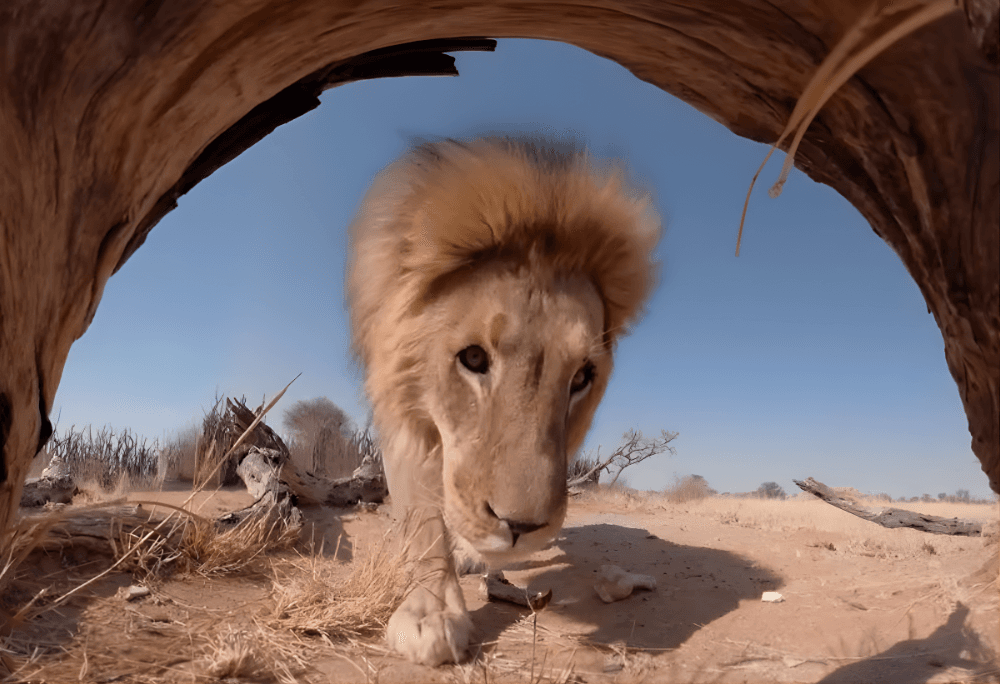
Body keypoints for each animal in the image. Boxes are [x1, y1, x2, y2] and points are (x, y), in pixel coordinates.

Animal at [346, 137, 661, 665]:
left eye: (582, 377)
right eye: (473, 357)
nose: (520, 526)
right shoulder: (400, 406)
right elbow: (422, 517)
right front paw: (429, 613)